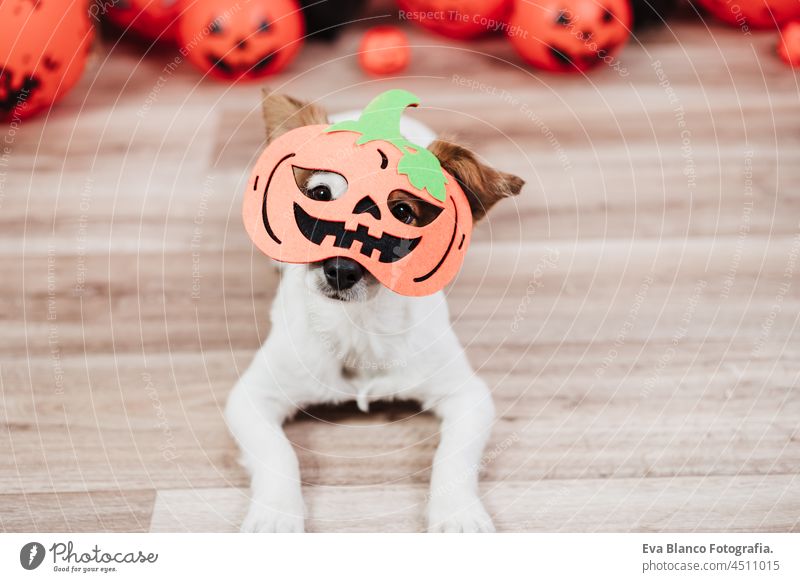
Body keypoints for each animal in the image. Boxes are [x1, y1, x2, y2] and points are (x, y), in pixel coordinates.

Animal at [227, 92, 524, 532]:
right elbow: (278, 453)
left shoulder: (467, 395)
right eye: (320, 194)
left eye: (402, 213)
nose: (340, 270)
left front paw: (458, 514)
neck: (360, 326)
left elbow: (452, 458)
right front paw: (275, 515)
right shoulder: (251, 397)